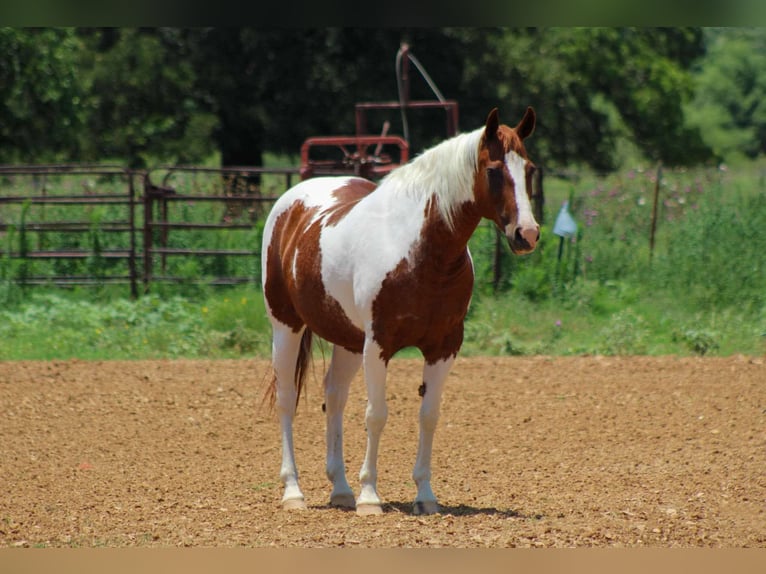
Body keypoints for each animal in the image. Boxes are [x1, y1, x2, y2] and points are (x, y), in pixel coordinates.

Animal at [261, 106, 540, 515]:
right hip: (287, 326)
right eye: (493, 170)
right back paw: (294, 492)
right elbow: (376, 415)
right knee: (286, 400)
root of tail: (291, 204)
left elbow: (429, 416)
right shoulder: (379, 344)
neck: (421, 251)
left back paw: (341, 489)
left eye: (530, 169)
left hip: (348, 340)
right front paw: (370, 497)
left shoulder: (444, 347)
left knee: (335, 397)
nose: (527, 234)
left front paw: (425, 495)